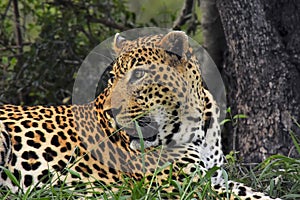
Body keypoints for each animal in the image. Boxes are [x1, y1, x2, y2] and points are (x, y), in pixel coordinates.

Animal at [0, 30, 282, 199]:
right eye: (113, 77)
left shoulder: (215, 177)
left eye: (138, 75)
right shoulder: (185, 185)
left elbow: (252, 192)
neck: (196, 126)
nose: (110, 111)